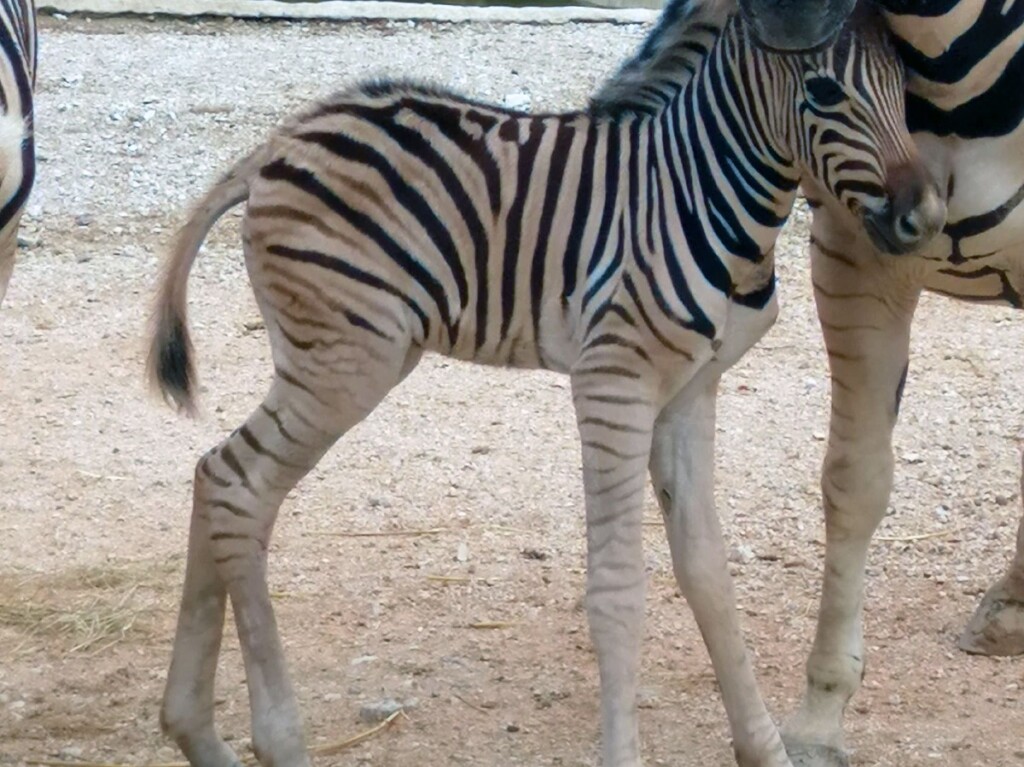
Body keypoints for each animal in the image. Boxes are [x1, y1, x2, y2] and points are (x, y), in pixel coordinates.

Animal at [147, 2, 944, 765]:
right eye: (824, 91)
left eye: (903, 87)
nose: (927, 218)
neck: (697, 185)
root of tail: (280, 143)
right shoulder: (613, 383)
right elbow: (618, 591)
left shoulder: (687, 393)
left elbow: (709, 576)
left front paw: (765, 750)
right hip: (345, 362)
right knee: (237, 486)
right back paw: (276, 741)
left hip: (349, 358)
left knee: (213, 474)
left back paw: (196, 734)